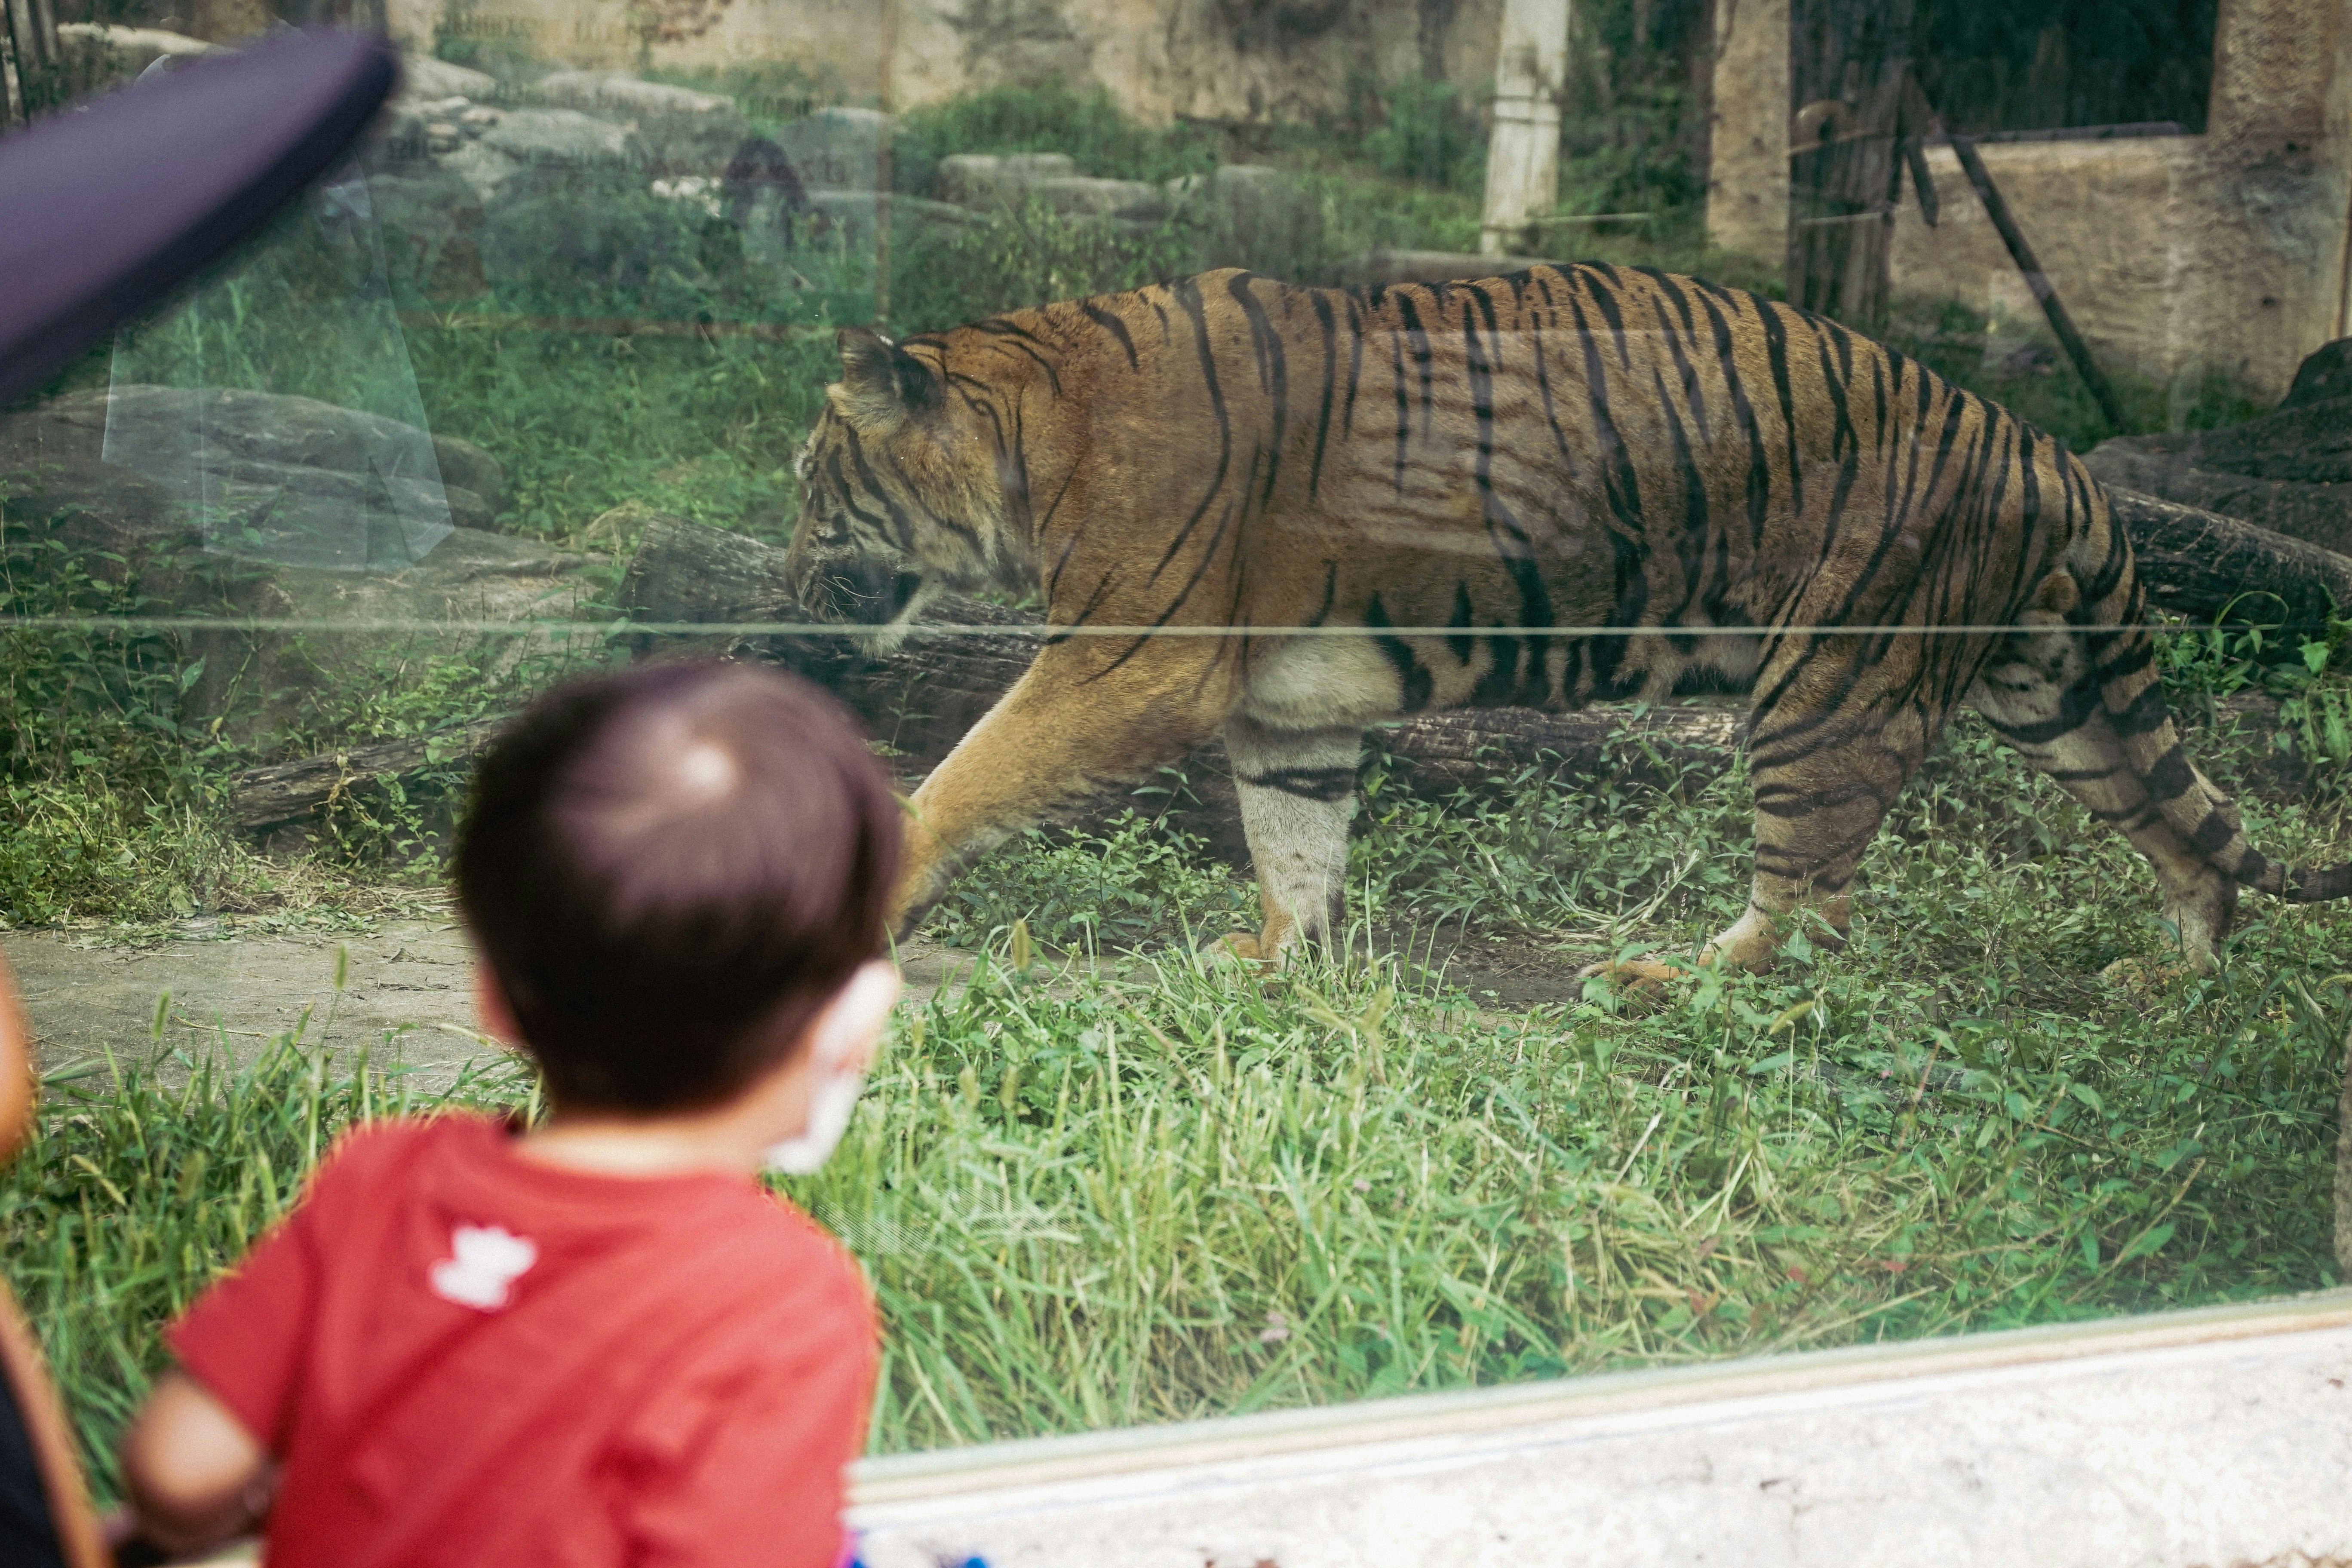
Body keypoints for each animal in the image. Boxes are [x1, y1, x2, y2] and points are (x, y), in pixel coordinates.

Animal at [780, 263, 2352, 977]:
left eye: (810, 485)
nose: (787, 593)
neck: (1032, 430)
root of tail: (2043, 450)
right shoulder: (1289, 706)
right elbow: (1296, 836)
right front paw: (1272, 958)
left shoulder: (1131, 661)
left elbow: (964, 772)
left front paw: (878, 883)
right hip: (2049, 690)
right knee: (2177, 830)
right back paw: (2172, 973)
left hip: (1824, 692)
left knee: (1811, 909)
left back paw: (1668, 979)